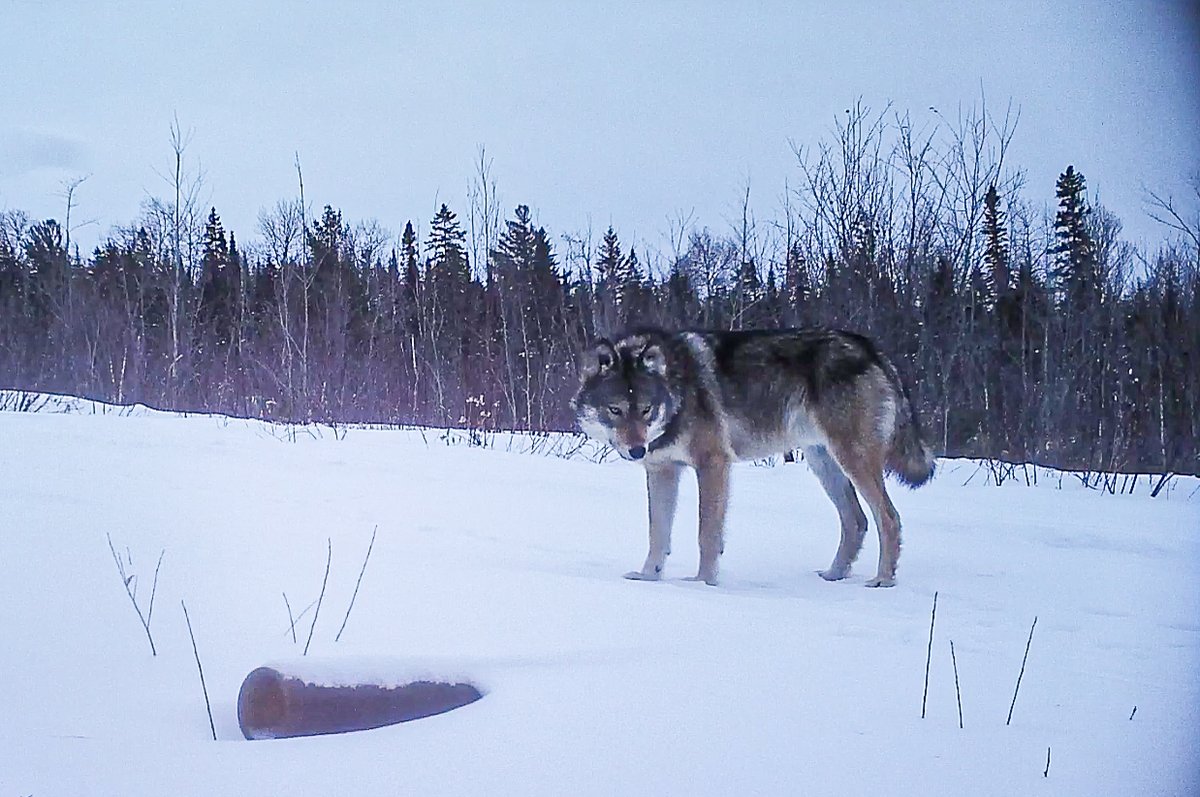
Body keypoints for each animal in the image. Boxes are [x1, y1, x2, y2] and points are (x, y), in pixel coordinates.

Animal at [571, 327, 935, 587]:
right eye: (615, 410)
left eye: (646, 410)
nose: (637, 450)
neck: (678, 391)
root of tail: (871, 348)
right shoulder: (662, 470)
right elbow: (657, 533)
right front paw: (649, 577)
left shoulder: (713, 464)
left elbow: (707, 533)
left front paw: (702, 583)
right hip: (823, 462)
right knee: (856, 520)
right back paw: (834, 576)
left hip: (852, 459)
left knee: (888, 517)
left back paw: (882, 580)